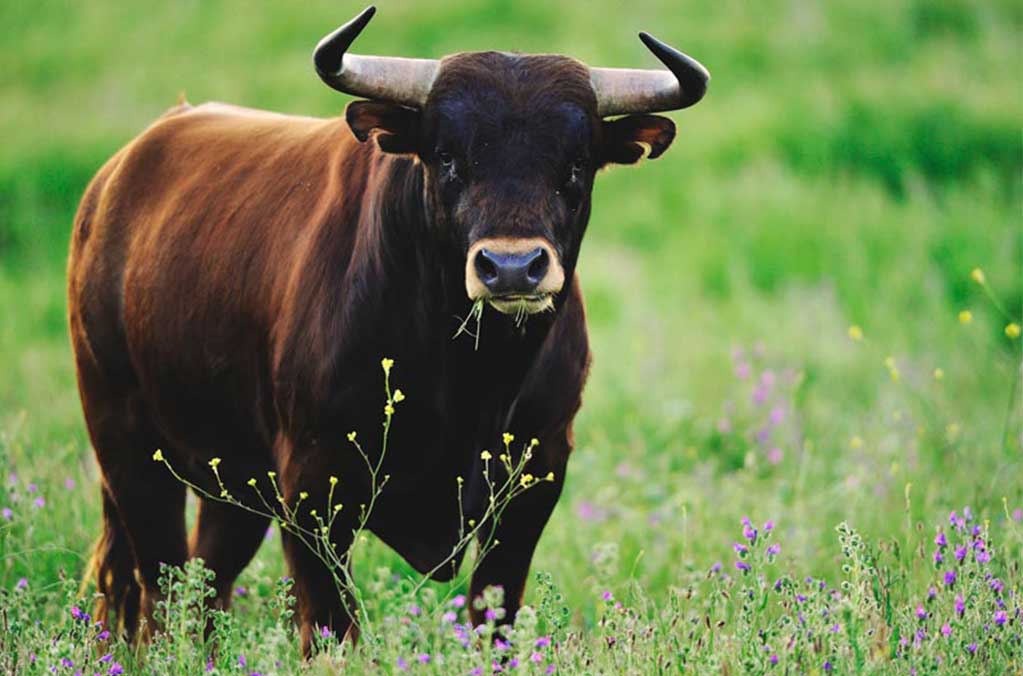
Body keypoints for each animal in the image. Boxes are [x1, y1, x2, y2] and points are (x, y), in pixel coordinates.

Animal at [68, 3, 707, 650]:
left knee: (206, 585)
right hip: (126, 443)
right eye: (448, 157)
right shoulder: (311, 485)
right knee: (157, 589)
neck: (472, 378)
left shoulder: (536, 475)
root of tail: (116, 178)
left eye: (575, 163)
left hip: (231, 480)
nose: (510, 267)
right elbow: (330, 623)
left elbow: (494, 612)